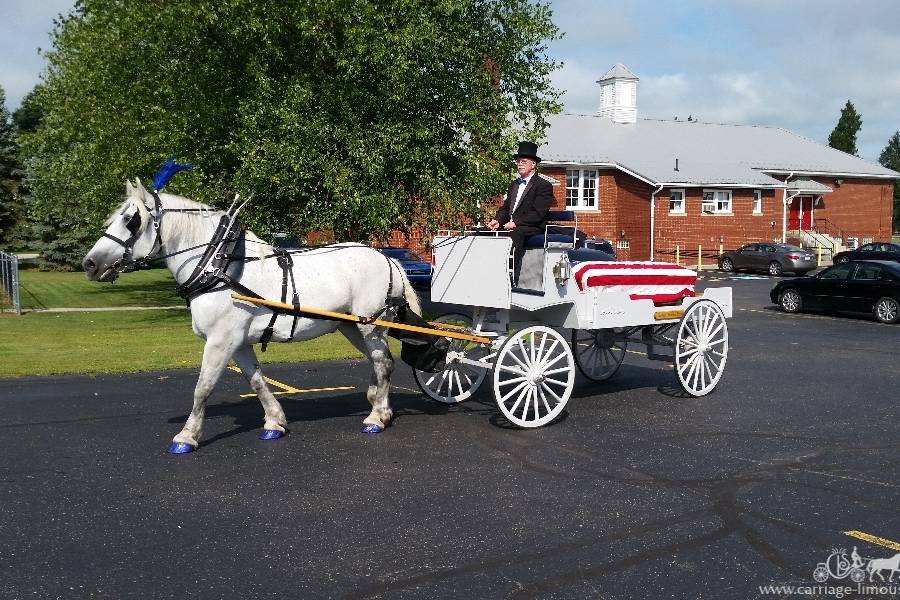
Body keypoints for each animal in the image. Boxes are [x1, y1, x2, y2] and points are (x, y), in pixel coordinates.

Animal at [84, 180, 422, 452]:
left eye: (130, 221)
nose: (89, 263)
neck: (219, 267)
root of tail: (388, 258)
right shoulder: (238, 342)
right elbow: (257, 380)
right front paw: (274, 422)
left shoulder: (220, 341)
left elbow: (203, 388)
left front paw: (186, 436)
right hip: (351, 327)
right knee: (380, 362)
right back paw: (379, 405)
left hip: (370, 326)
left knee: (382, 362)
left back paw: (376, 417)